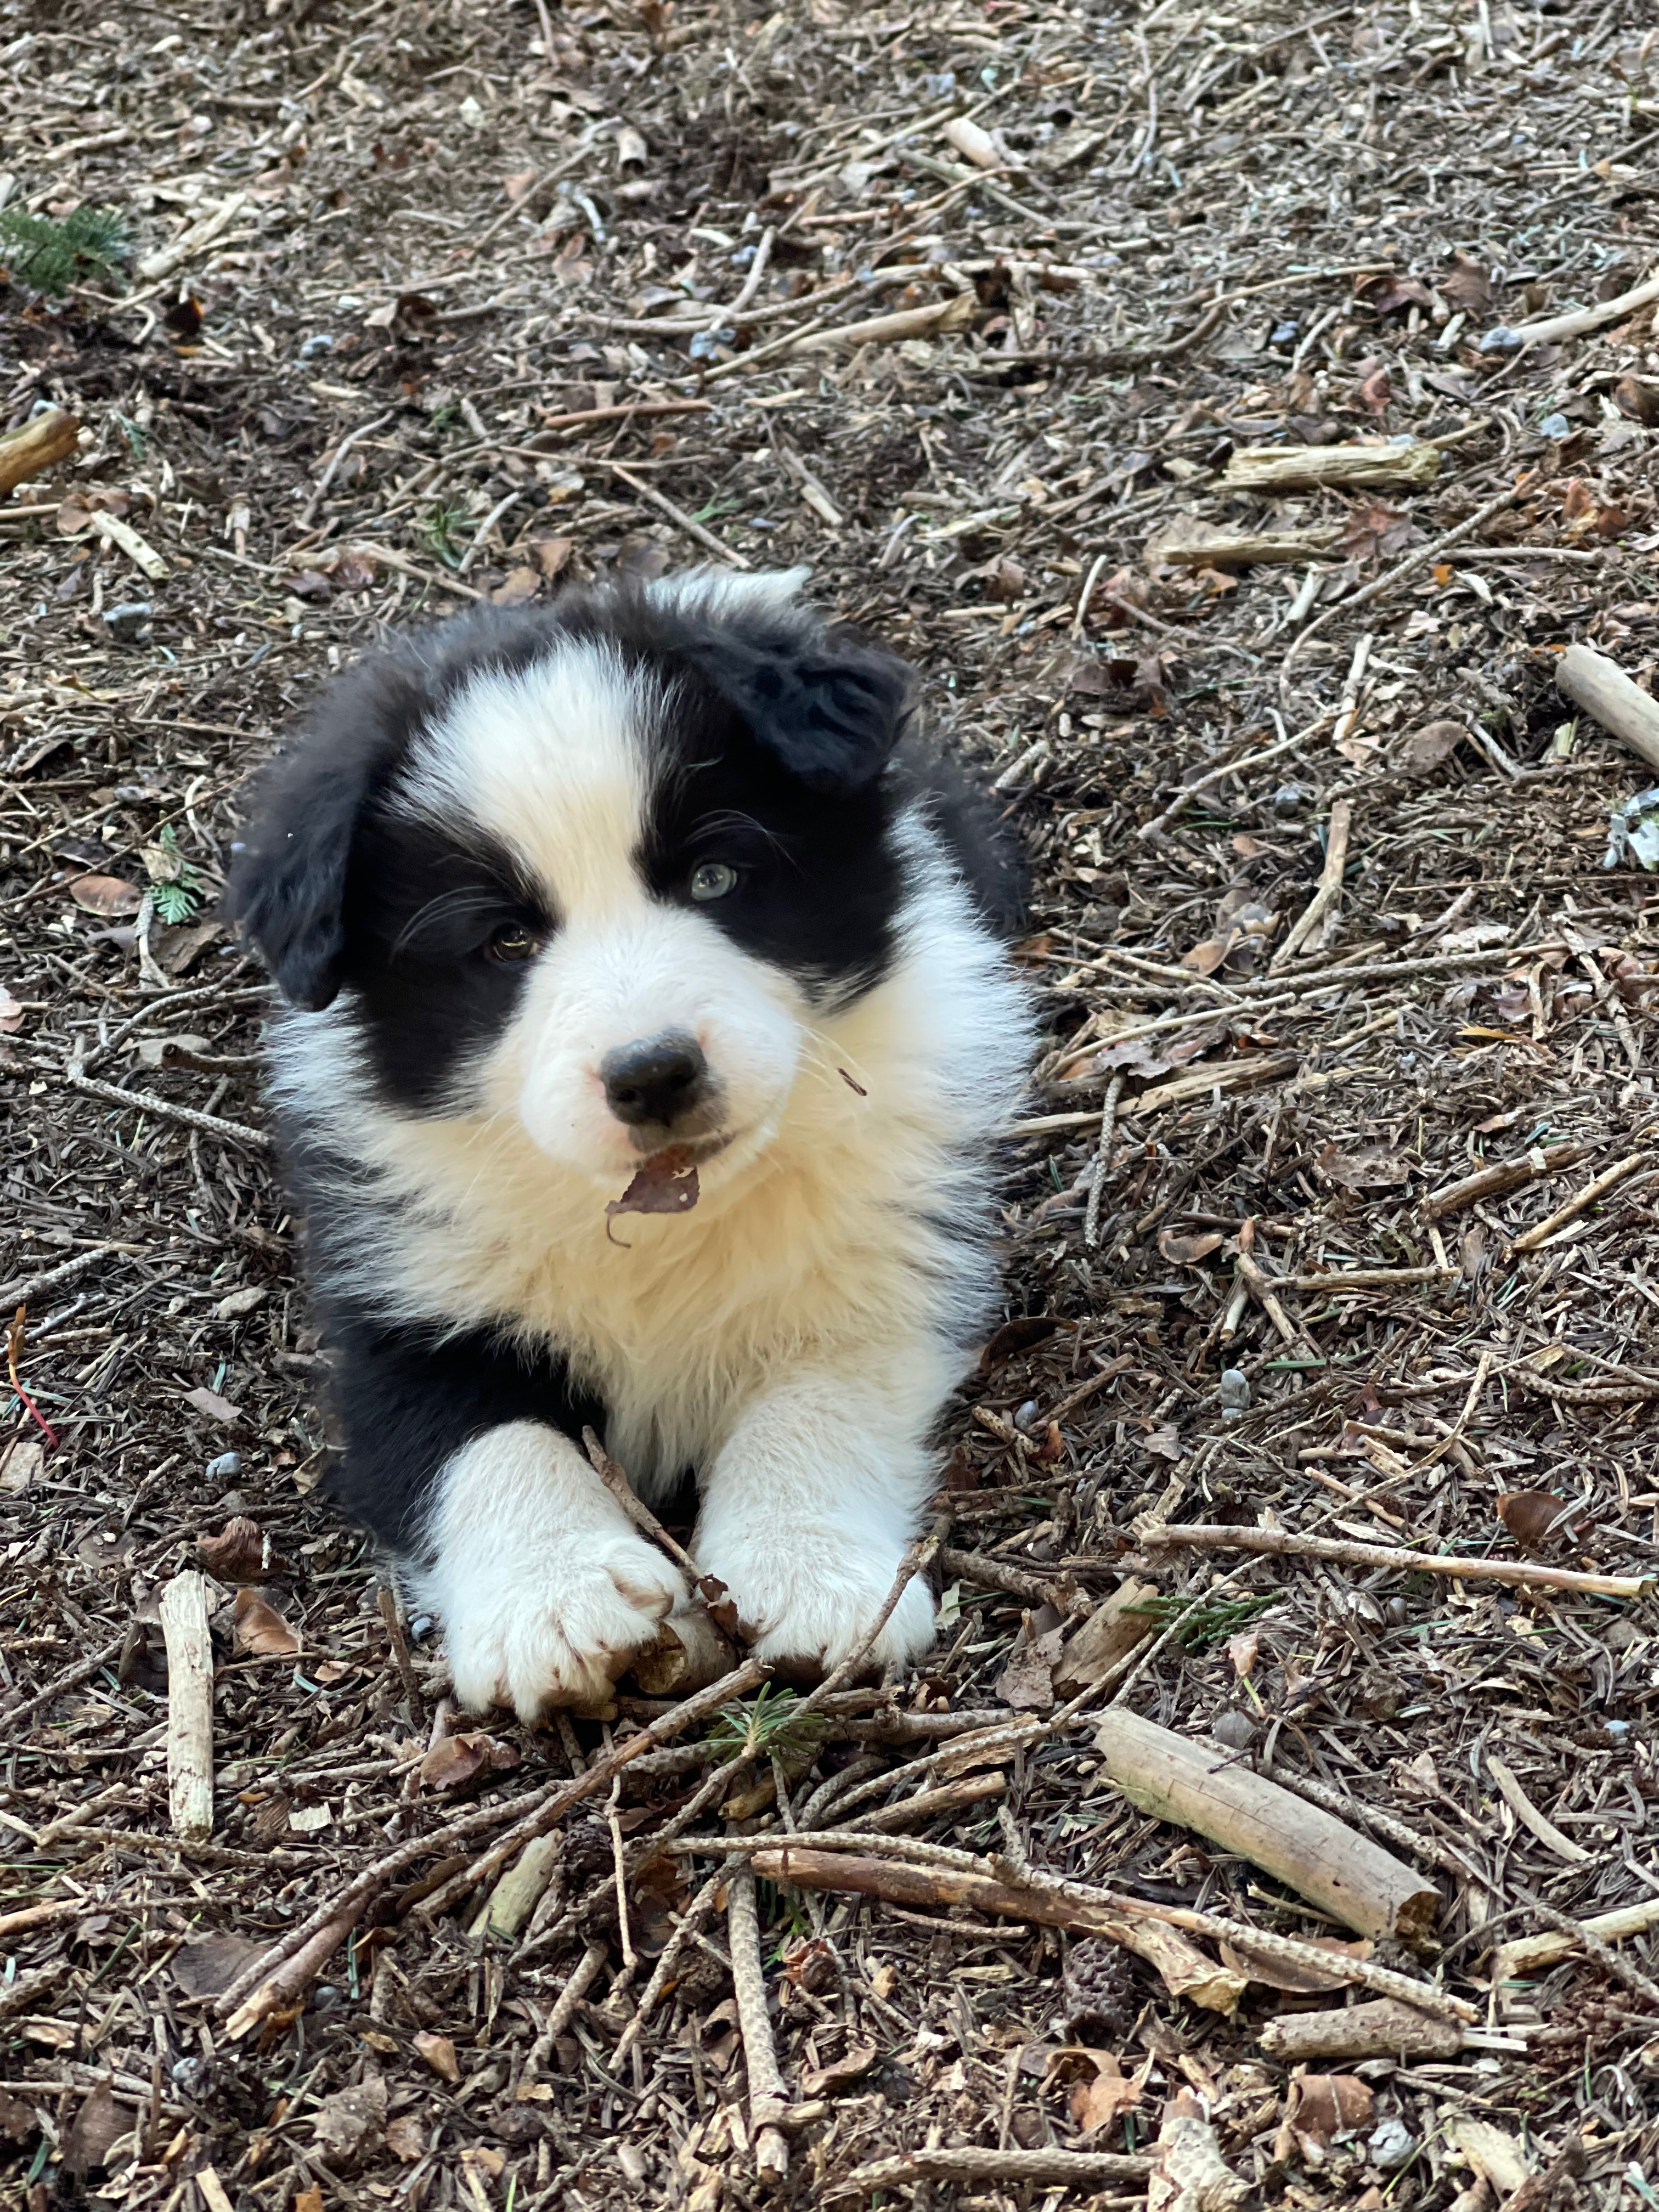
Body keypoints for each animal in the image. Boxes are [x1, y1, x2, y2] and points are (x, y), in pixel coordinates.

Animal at [231, 566, 1040, 1707]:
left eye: (714, 878)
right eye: (503, 941)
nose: (653, 1070)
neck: (664, 1207)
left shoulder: (890, 1245)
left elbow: (819, 1391)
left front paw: (807, 1574)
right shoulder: (397, 1283)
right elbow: (472, 1431)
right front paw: (557, 1601)